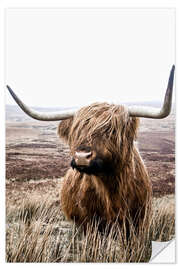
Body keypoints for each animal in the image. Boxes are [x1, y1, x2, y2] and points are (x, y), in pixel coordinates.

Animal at [6, 66, 174, 239]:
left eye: (111, 130)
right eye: (76, 130)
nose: (81, 157)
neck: (112, 190)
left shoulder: (138, 224)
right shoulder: (89, 225)